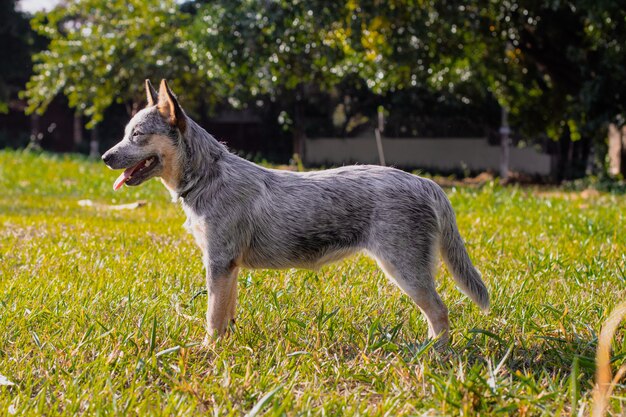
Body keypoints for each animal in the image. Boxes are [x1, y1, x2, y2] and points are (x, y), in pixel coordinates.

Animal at [101, 79, 488, 344]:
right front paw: (226, 347)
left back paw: (434, 353)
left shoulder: (218, 262)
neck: (207, 176)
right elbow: (226, 312)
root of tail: (425, 182)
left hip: (405, 270)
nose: (105, 156)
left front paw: (207, 351)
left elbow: (212, 316)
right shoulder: (229, 267)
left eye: (137, 135)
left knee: (439, 311)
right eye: (124, 133)